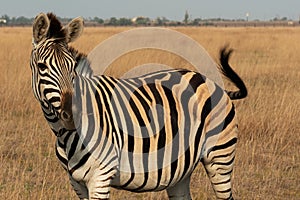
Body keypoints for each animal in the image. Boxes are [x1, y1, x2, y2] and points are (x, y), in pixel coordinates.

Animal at [29, 13, 246, 199]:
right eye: (42, 67)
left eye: (72, 66)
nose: (72, 115)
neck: (64, 136)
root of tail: (212, 83)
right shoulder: (76, 183)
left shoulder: (100, 177)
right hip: (181, 171)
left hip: (220, 156)